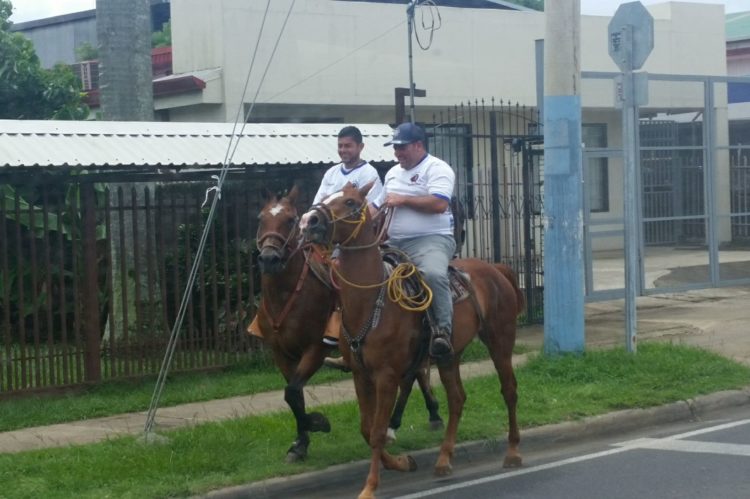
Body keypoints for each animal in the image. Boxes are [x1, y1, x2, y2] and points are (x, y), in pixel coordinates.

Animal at [254, 187, 440, 464]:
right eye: (260, 219)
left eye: (290, 219)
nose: (269, 259)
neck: (286, 296)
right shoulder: (281, 354)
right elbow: (294, 395)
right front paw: (300, 442)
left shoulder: (316, 349)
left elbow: (293, 390)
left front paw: (317, 422)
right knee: (411, 375)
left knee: (416, 373)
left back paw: (430, 415)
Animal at [300, 184, 524, 499]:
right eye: (328, 195)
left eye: (351, 202)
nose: (309, 221)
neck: (371, 301)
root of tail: (496, 270)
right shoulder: (360, 375)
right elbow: (367, 429)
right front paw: (403, 463)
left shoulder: (387, 376)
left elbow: (378, 431)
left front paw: (370, 486)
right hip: (449, 355)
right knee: (457, 398)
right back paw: (443, 459)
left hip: (500, 342)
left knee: (509, 390)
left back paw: (513, 452)